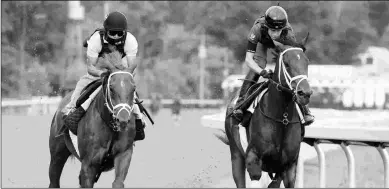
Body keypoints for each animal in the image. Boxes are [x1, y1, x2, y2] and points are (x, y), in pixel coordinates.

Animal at [49, 52, 139, 188]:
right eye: (111, 88)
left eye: (133, 88)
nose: (122, 120)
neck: (110, 126)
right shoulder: (89, 164)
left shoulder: (124, 153)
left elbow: (118, 182)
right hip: (57, 154)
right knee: (54, 180)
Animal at [220, 34, 310, 188]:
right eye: (286, 64)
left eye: (307, 63)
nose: (305, 93)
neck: (282, 118)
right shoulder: (253, 159)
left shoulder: (289, 166)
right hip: (236, 153)